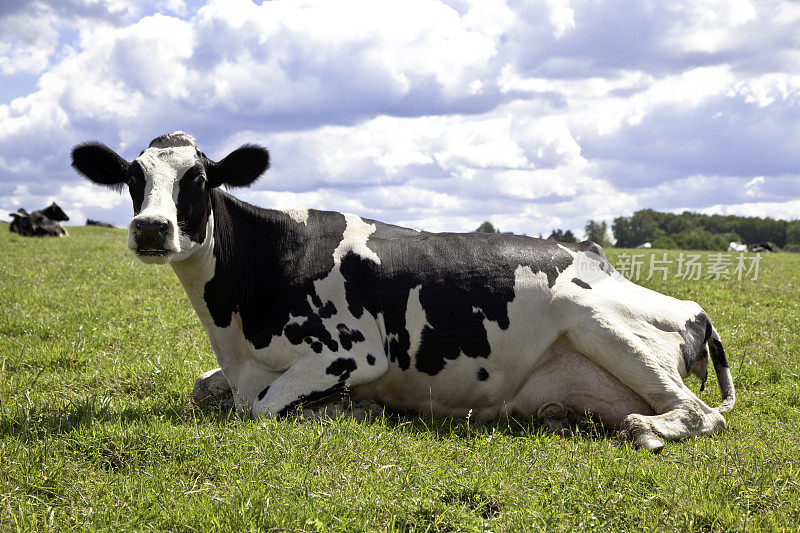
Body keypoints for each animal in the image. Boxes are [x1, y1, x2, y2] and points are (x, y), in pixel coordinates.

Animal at [72, 132, 736, 448]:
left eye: (200, 178)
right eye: (132, 177)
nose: (151, 228)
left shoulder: (350, 353)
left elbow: (257, 407)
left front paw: (348, 410)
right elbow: (204, 390)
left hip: (594, 317)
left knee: (698, 414)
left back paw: (645, 429)